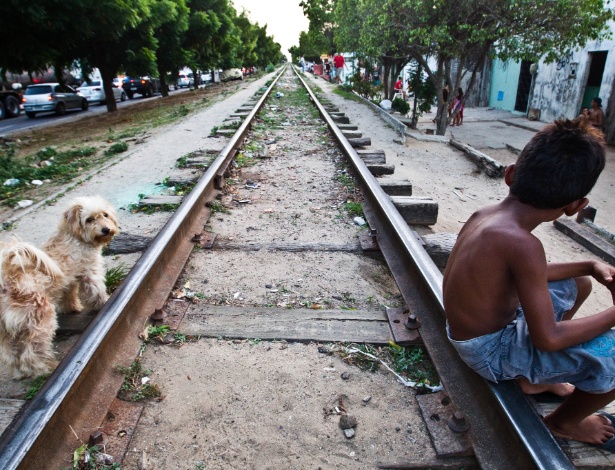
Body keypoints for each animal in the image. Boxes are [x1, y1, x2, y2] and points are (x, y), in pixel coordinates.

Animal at [0, 241, 65, 380]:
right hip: (42, 324)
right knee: (30, 356)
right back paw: (45, 371)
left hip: (5, 333)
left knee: (10, 357)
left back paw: (19, 374)